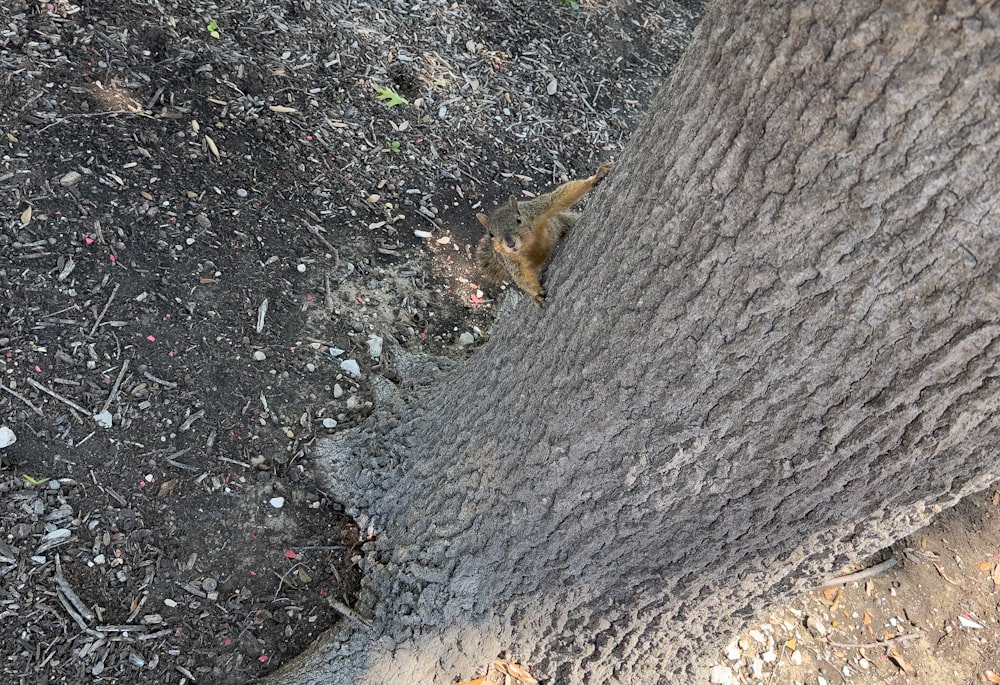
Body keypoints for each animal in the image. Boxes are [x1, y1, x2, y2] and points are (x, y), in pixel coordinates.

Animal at [474, 162, 608, 306]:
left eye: (518, 220)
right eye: (491, 234)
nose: (510, 243)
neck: (528, 244)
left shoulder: (537, 210)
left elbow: (559, 198)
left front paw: (596, 177)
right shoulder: (511, 261)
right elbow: (522, 277)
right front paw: (536, 293)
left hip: (562, 221)